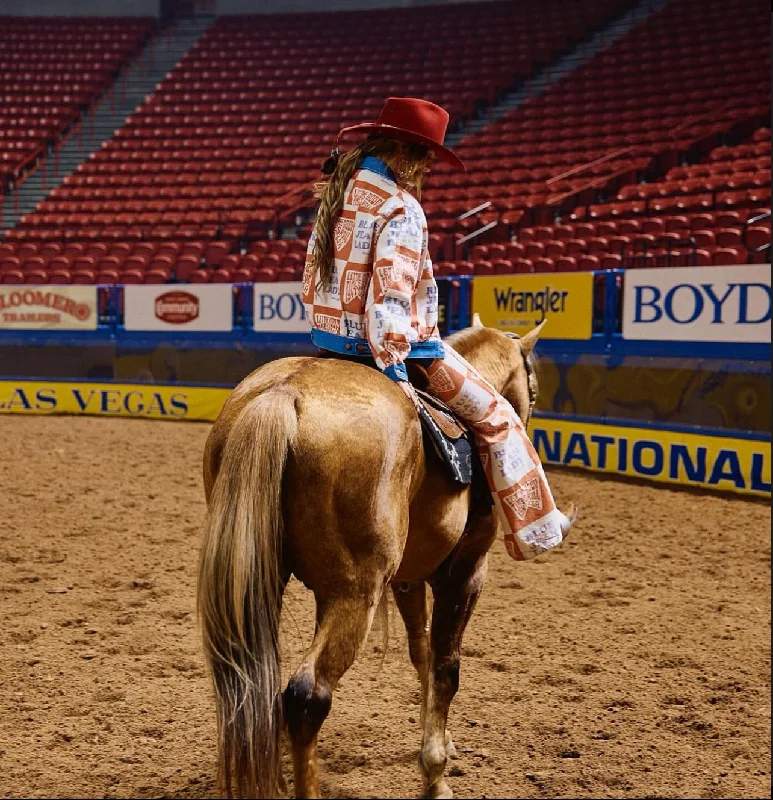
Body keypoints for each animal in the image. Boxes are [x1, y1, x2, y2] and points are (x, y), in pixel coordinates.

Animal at [199, 318, 556, 800]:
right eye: (532, 387)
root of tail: (283, 393)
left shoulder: (407, 578)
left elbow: (422, 653)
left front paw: (439, 740)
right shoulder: (465, 573)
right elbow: (447, 666)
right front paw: (435, 774)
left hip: (263, 583)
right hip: (355, 594)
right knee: (307, 696)